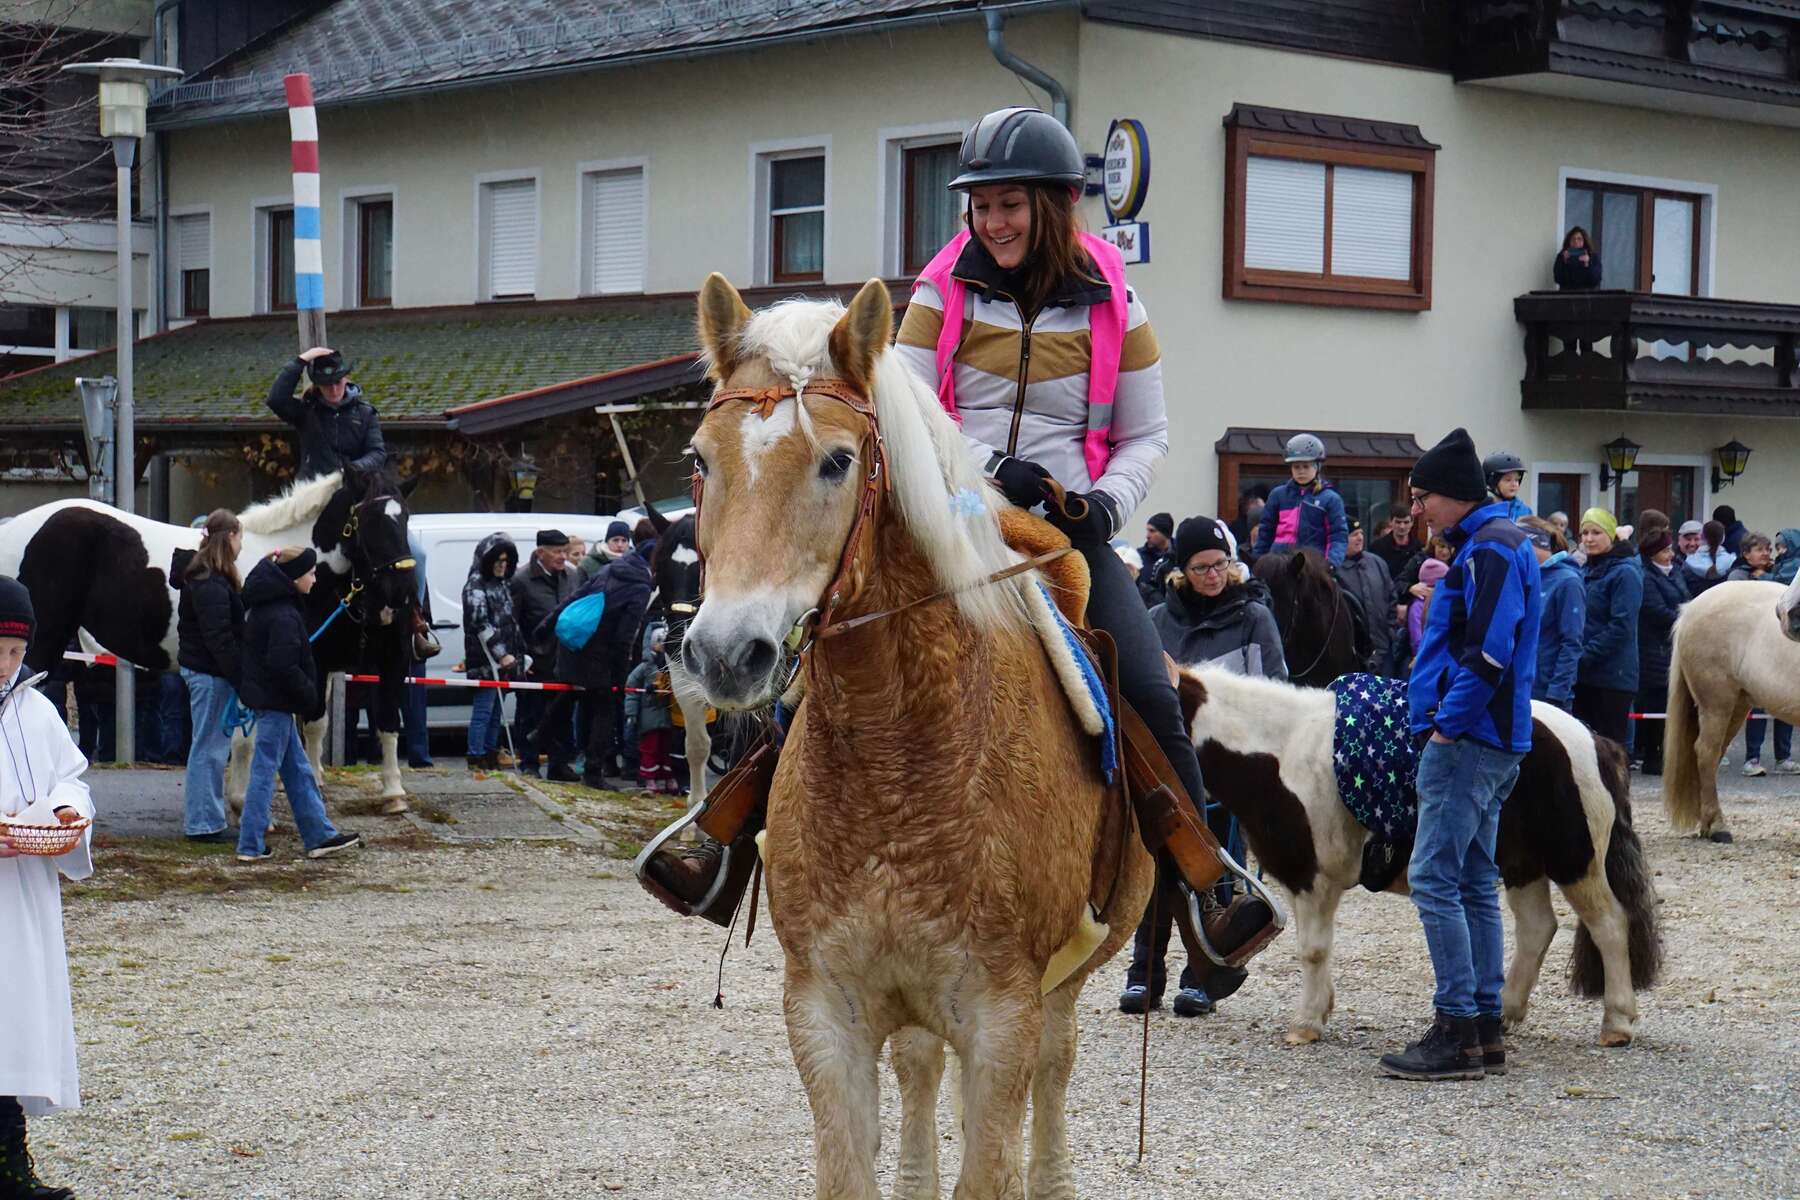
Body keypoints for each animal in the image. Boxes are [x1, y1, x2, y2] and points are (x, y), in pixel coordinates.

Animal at [677, 274, 1153, 1200]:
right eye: (701, 459)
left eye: (837, 460)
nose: (725, 653)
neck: (897, 760)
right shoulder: (825, 1010)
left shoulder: (1003, 1017)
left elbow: (997, 1149)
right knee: (923, 1069)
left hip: (1059, 987)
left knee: (1055, 1067)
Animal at [1176, 665, 1662, 1048]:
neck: (1281, 754)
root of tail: (1594, 741)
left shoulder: (1314, 880)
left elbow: (1312, 950)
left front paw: (1306, 1023)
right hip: (1524, 864)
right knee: (1537, 928)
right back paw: (1504, 1013)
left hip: (1574, 862)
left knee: (1609, 925)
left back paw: (1617, 1023)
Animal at [1663, 579, 1800, 842]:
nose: (1786, 613)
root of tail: (1690, 608)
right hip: (1716, 705)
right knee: (1705, 752)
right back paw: (1718, 827)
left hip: (1737, 707)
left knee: (1714, 754)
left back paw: (1707, 823)